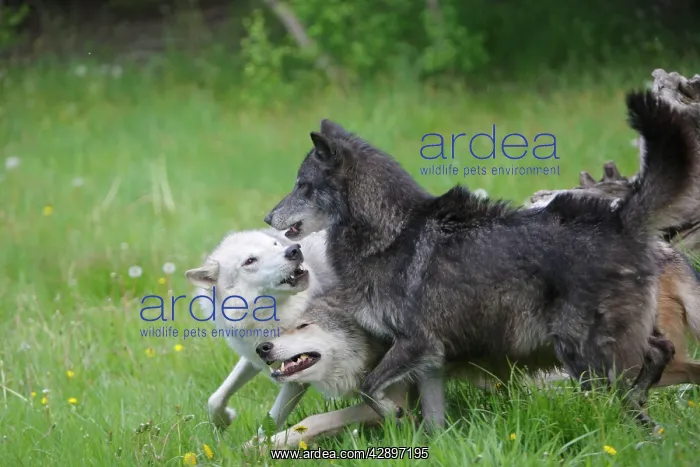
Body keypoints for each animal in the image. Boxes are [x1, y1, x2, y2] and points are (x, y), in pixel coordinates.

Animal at [184, 228, 336, 431]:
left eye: (275, 245)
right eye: (250, 261)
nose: (294, 250)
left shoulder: (297, 376)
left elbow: (269, 426)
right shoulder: (255, 358)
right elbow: (215, 399)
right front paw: (224, 420)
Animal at [264, 90, 700, 430]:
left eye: (302, 185)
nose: (268, 218)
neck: (391, 234)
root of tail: (620, 218)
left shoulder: (415, 343)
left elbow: (371, 389)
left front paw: (392, 414)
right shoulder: (430, 359)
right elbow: (430, 419)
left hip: (586, 359)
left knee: (637, 394)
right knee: (660, 354)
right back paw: (643, 398)